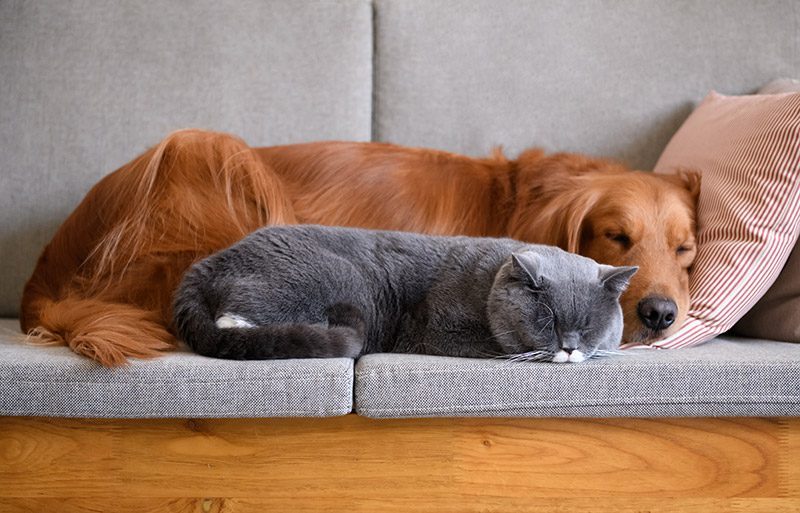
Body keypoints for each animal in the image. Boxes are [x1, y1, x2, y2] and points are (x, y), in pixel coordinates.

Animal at [172, 226, 636, 362]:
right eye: (548, 321)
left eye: (588, 327)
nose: (570, 347)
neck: (487, 281)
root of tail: (206, 263)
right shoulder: (442, 327)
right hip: (333, 276)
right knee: (233, 317)